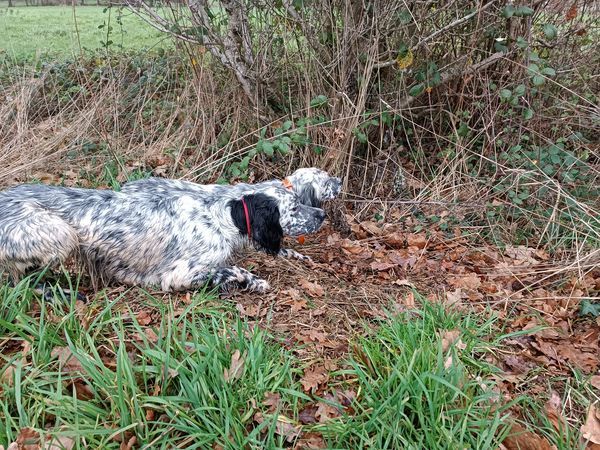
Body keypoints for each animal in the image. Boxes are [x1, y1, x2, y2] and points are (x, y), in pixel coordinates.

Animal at [1, 181, 328, 294]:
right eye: (294, 207)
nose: (322, 215)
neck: (222, 215)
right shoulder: (179, 274)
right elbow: (232, 269)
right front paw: (254, 281)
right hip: (62, 234)